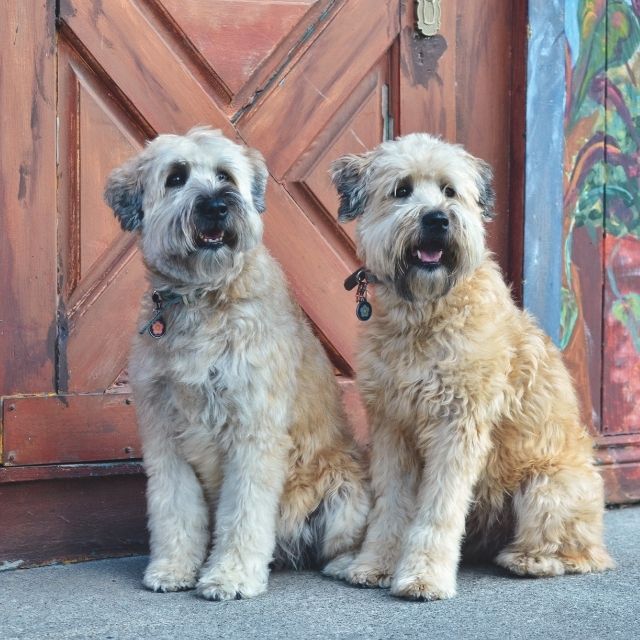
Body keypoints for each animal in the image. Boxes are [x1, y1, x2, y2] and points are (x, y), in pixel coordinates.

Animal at [102, 129, 368, 600]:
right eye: (176, 177)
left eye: (225, 175)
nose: (215, 205)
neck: (203, 298)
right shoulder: (164, 434)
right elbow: (174, 508)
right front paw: (173, 568)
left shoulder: (253, 430)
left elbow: (244, 513)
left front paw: (231, 575)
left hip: (344, 490)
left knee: (342, 542)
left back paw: (347, 565)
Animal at [324, 134, 616, 600]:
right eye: (401, 190)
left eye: (449, 190)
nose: (437, 219)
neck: (424, 315)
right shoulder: (391, 428)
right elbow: (391, 507)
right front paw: (375, 564)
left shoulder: (457, 427)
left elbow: (438, 511)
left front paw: (423, 576)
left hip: (547, 488)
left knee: (580, 554)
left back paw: (528, 560)